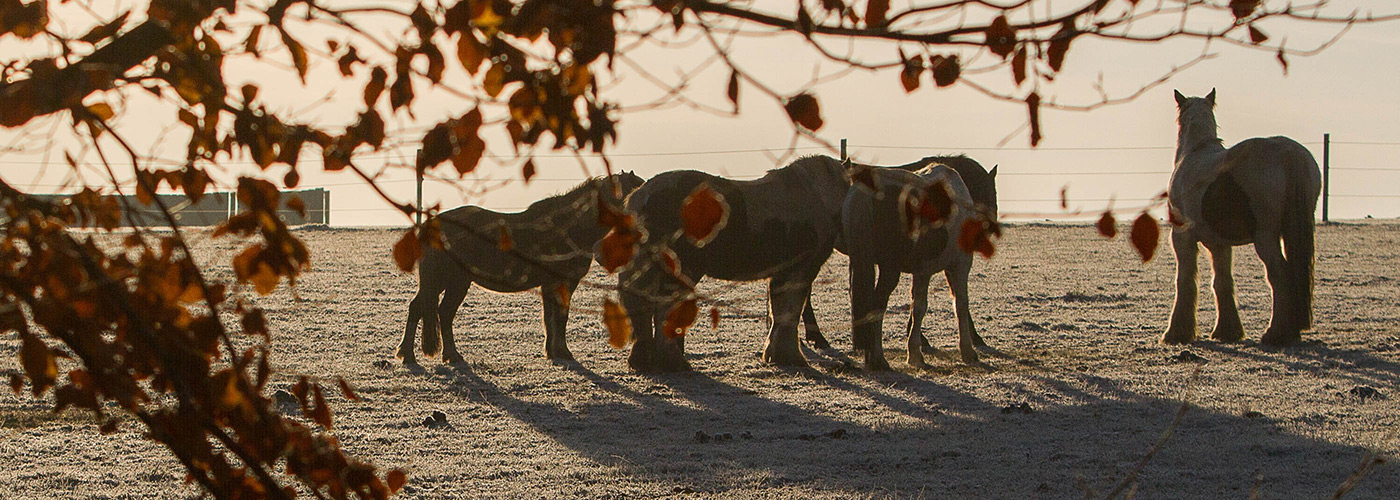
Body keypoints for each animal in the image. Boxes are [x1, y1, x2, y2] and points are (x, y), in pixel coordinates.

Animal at [397, 173, 646, 364]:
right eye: (629, 197)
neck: (569, 228)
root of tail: (431, 225)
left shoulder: (551, 285)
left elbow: (550, 317)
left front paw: (552, 352)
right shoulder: (562, 283)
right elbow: (559, 316)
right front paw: (563, 352)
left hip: (441, 282)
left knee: (418, 308)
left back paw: (407, 354)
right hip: (453, 281)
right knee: (444, 313)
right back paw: (450, 355)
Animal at [618, 154, 845, 369]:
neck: (817, 196)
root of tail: (641, 194)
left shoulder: (783, 274)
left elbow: (780, 311)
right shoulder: (800, 270)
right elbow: (791, 310)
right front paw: (791, 356)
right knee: (663, 308)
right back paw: (672, 362)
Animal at [800, 154, 996, 361]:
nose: (989, 229)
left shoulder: (924, 268)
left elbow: (920, 305)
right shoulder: (959, 263)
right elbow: (959, 304)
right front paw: (968, 348)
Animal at [1164, 89, 1316, 344]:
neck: (1194, 153)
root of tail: (1286, 151)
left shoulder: (1182, 238)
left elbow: (1185, 281)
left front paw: (1177, 332)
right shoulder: (1219, 245)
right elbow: (1222, 282)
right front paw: (1228, 331)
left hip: (1266, 236)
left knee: (1280, 274)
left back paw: (1276, 333)